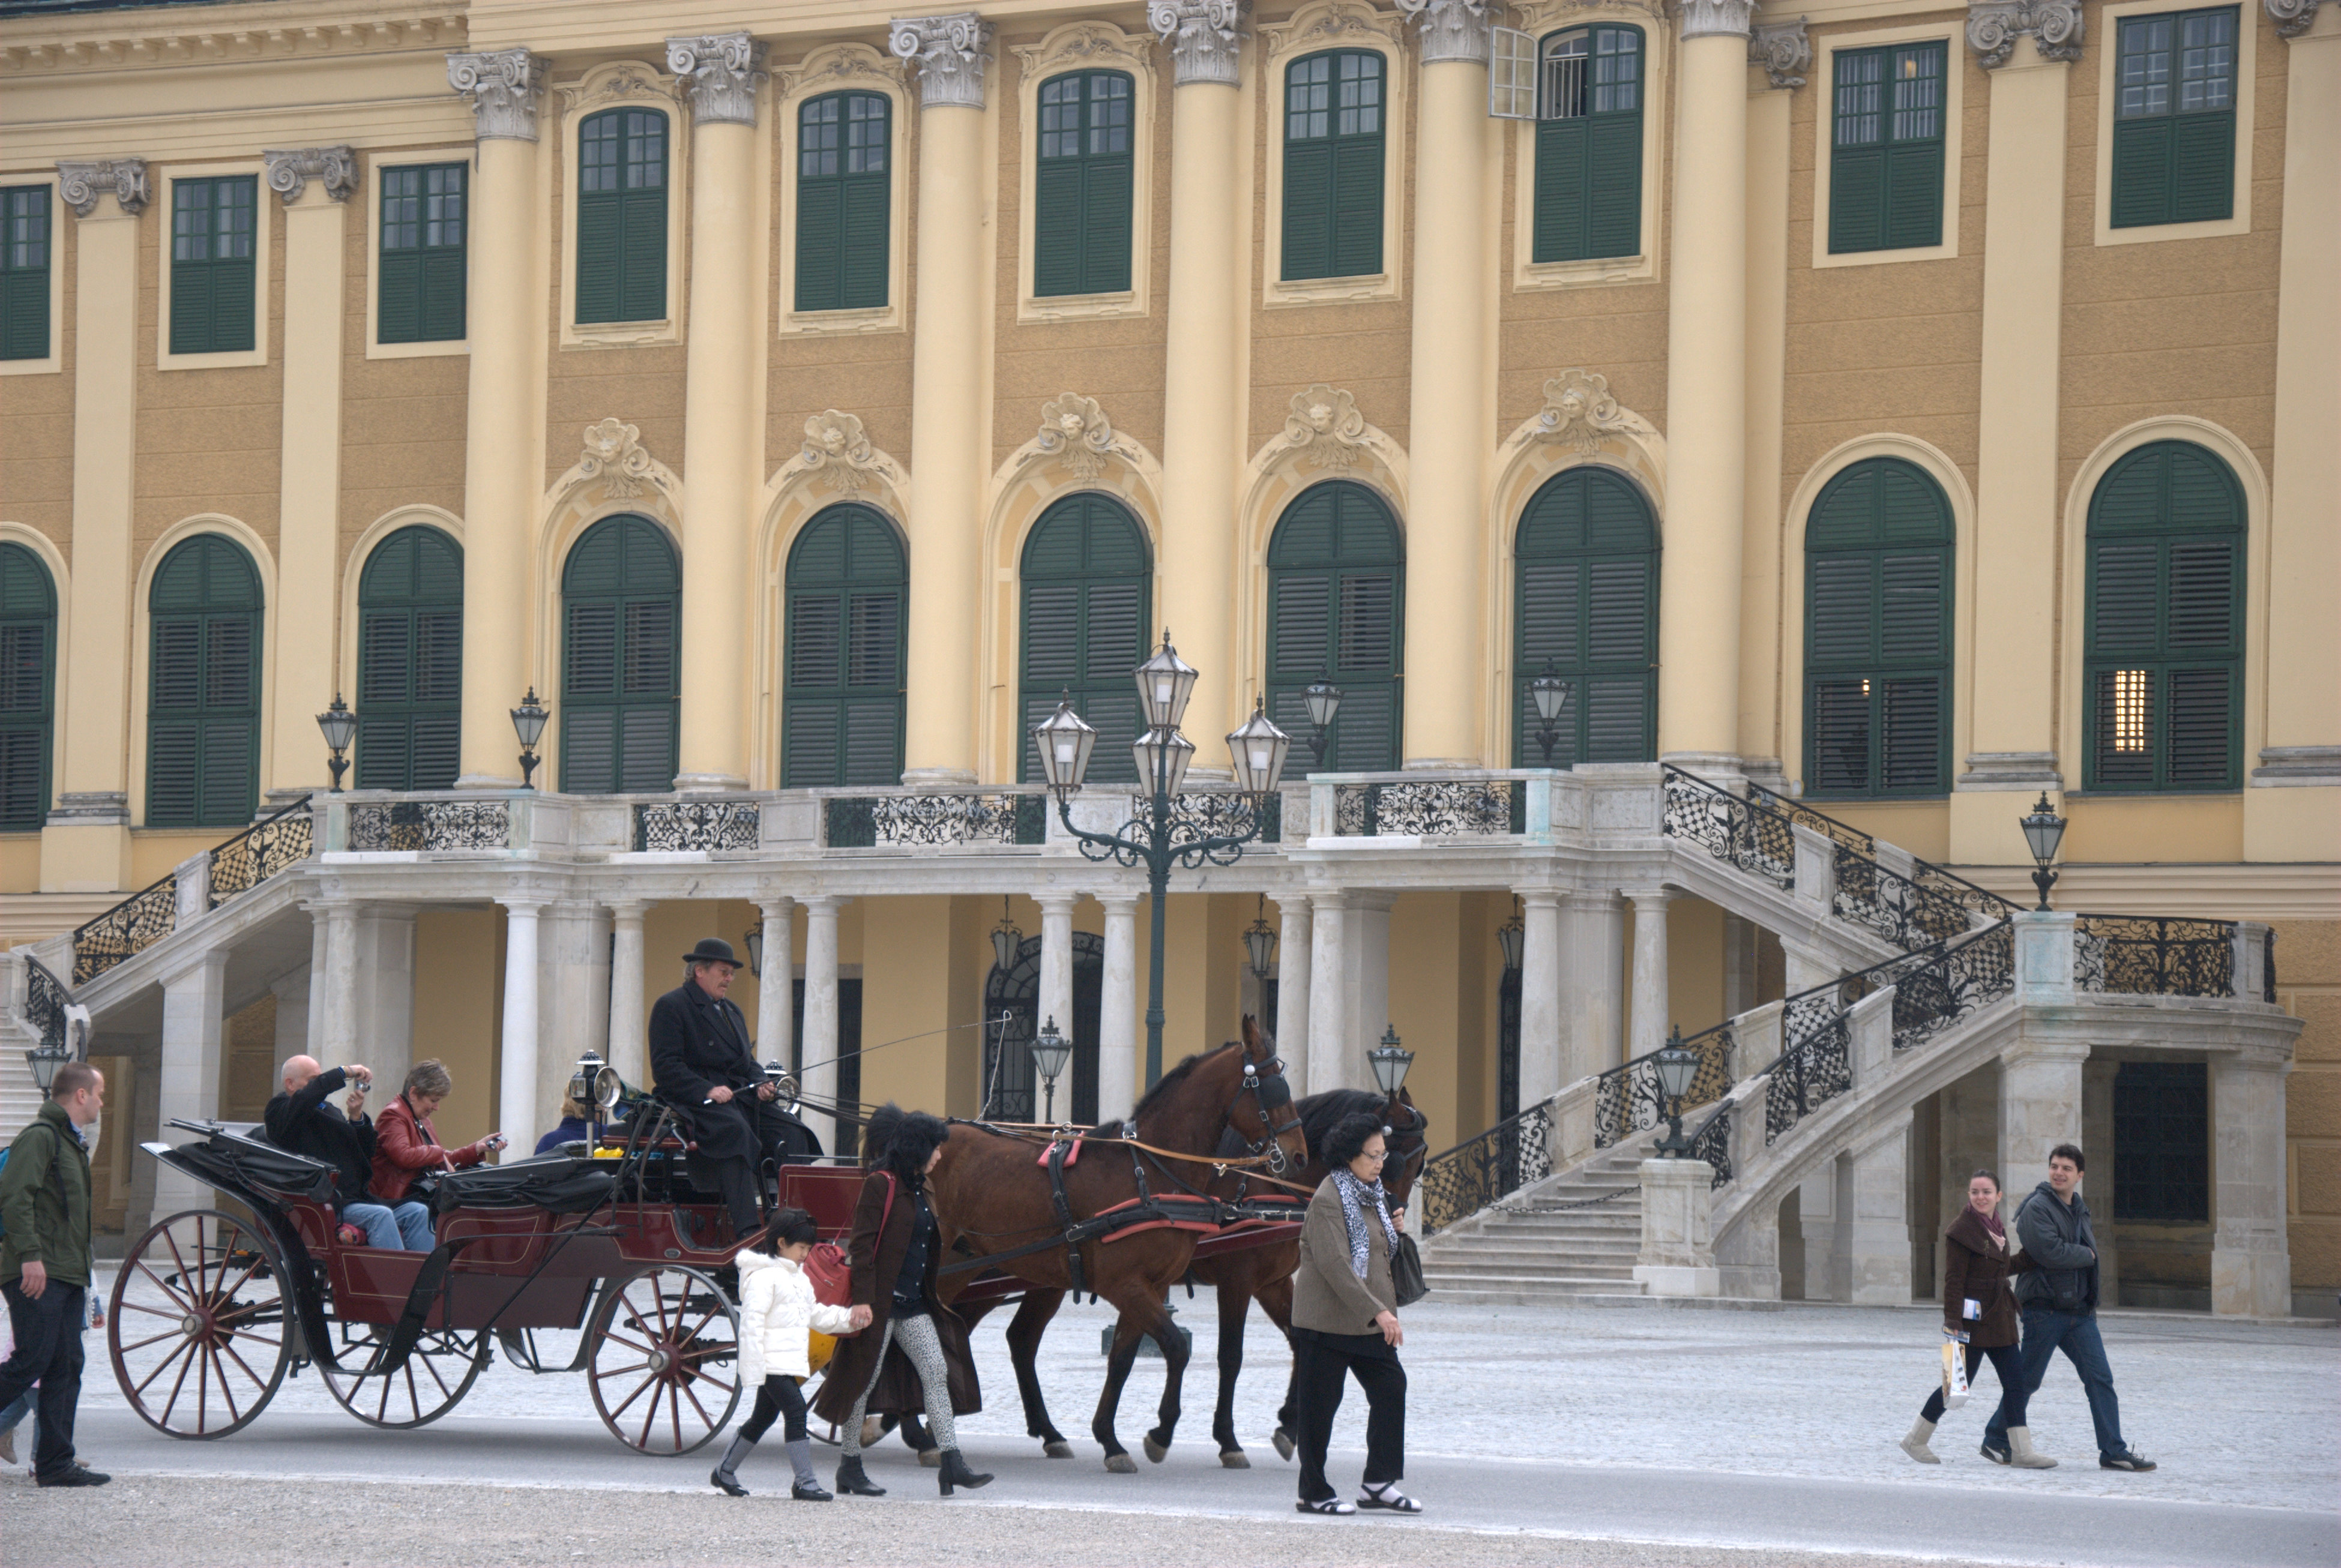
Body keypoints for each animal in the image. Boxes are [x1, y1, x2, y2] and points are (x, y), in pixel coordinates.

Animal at [922, 1020, 1311, 1479]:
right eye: (1271, 1088)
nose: (1298, 1155)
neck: (1150, 1173)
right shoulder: (1136, 1284)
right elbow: (1180, 1348)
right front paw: (1164, 1432)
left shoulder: (1153, 1286)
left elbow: (1123, 1359)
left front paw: (1111, 1439)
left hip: (976, 1266)